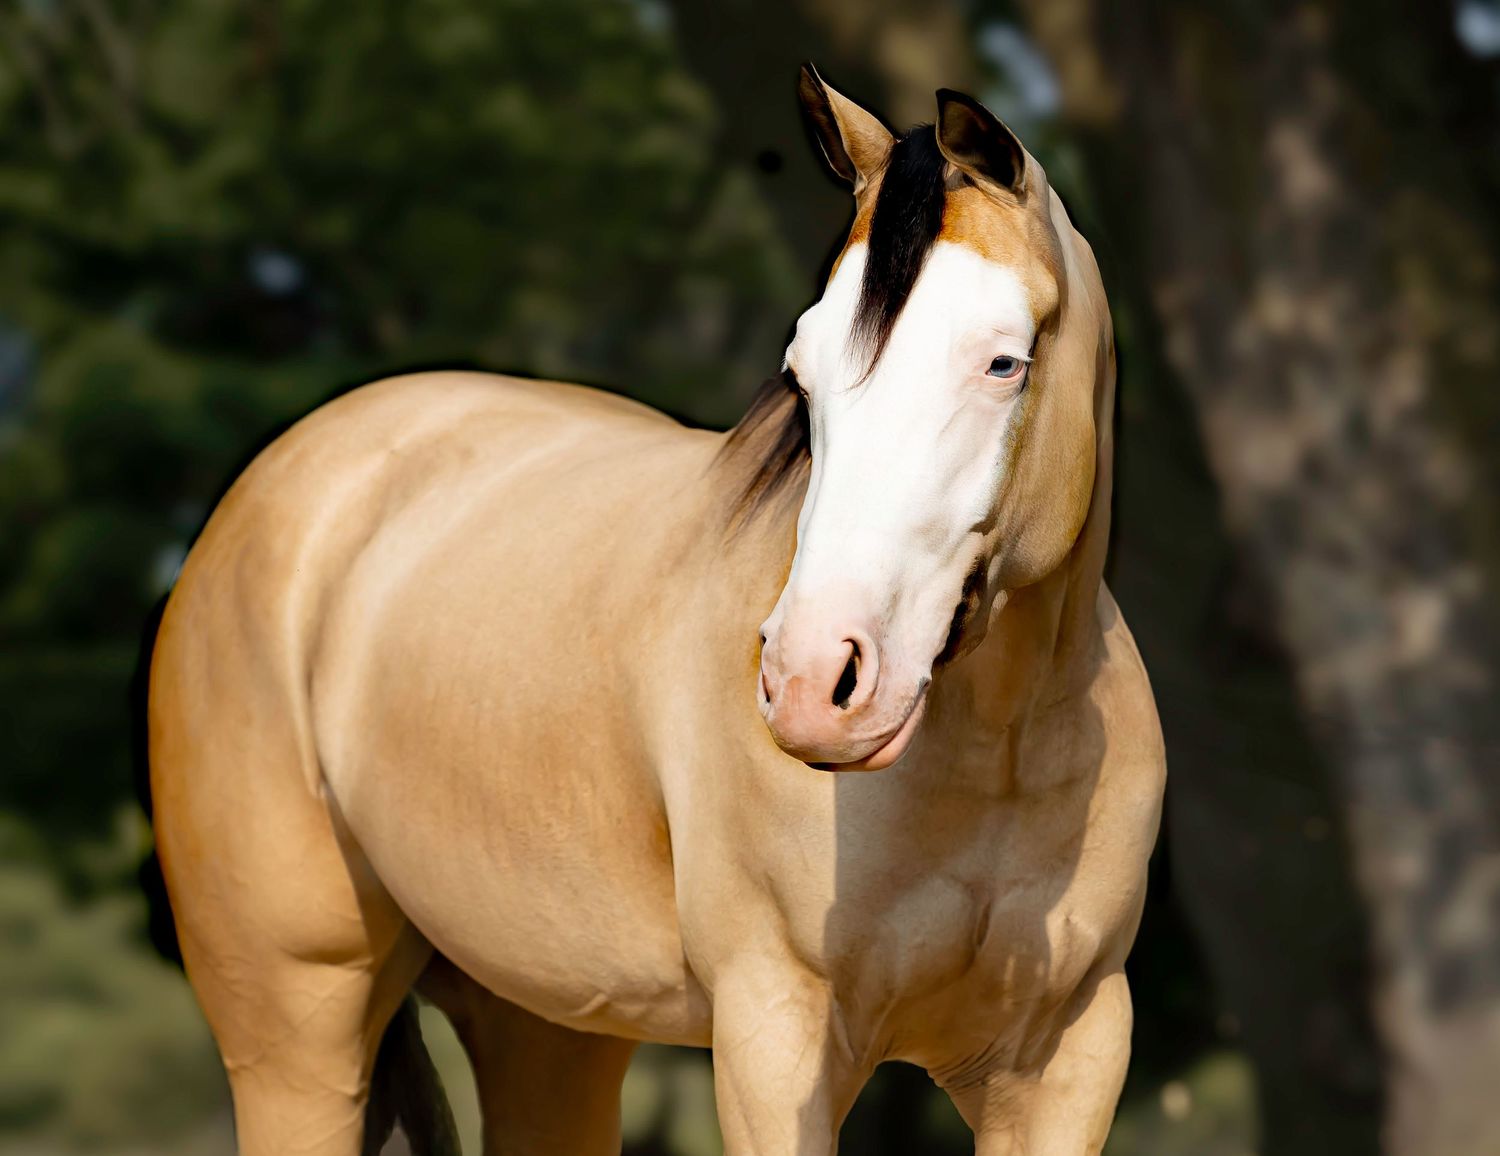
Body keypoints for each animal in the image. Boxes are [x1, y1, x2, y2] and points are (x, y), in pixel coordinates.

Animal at [149, 67, 1164, 1155]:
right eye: (802, 372)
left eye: (1004, 362)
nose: (813, 682)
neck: (1001, 750)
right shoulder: (775, 1040)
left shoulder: (1067, 1059)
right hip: (296, 1034)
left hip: (547, 1028)